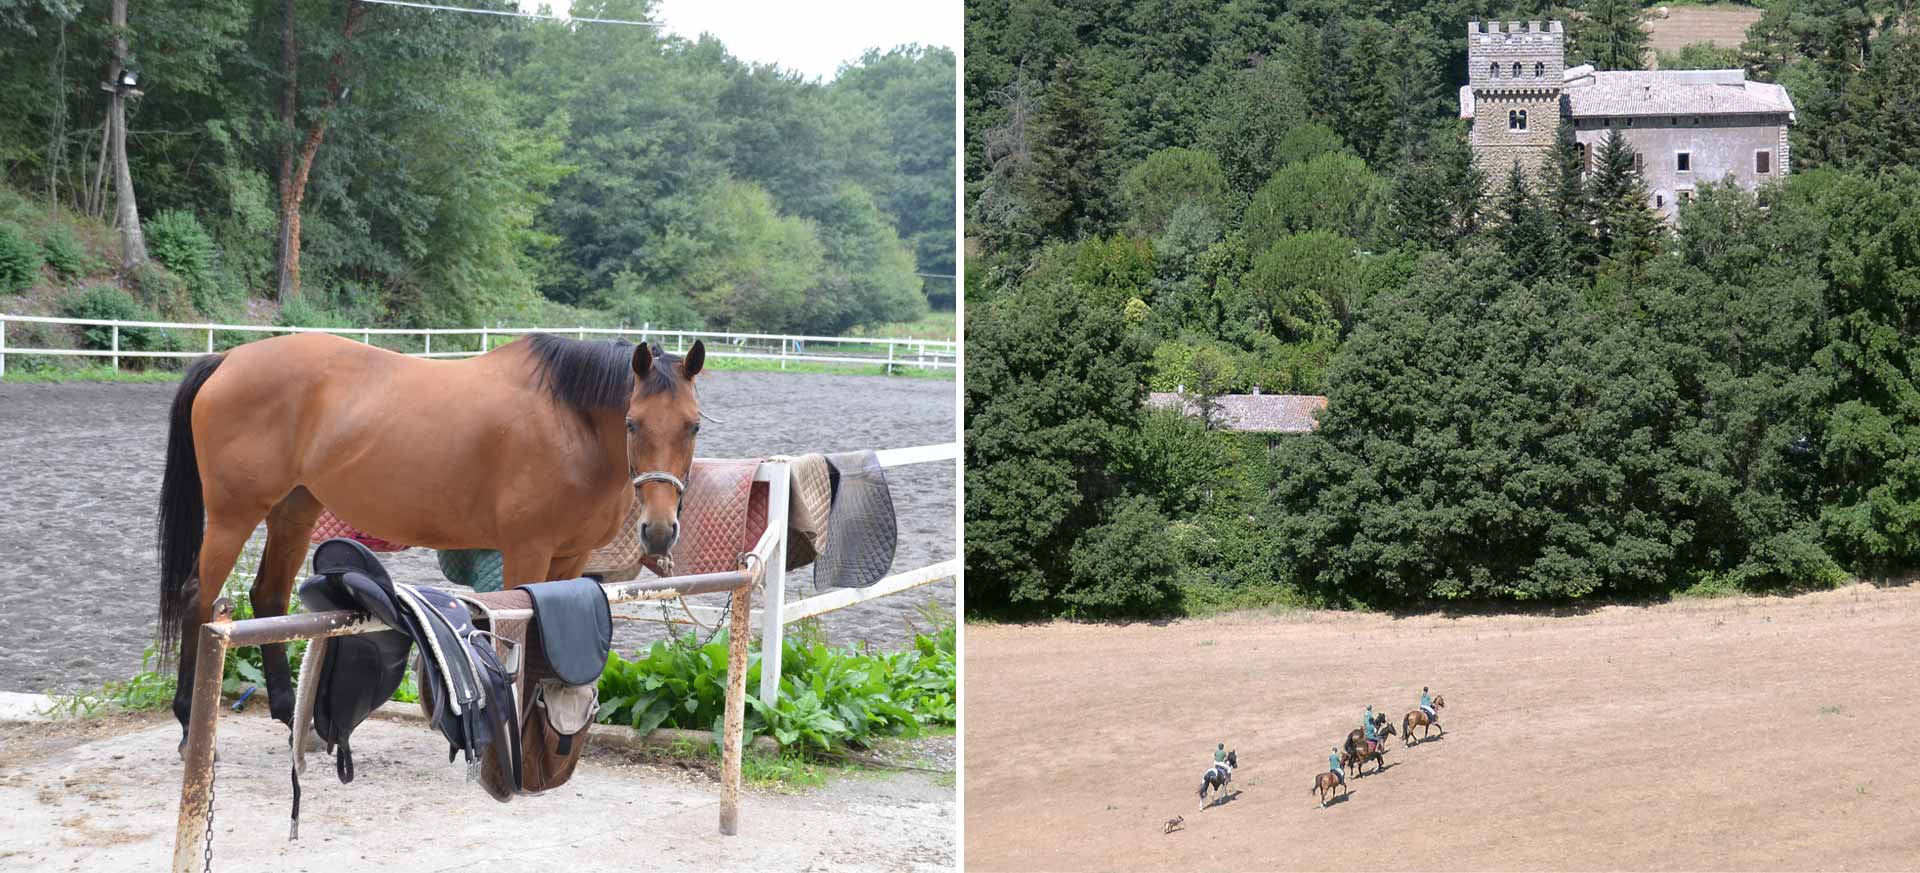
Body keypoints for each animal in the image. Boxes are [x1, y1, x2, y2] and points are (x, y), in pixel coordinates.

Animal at [157, 333, 710, 744]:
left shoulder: (571, 560)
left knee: (268, 597)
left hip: (294, 512)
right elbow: (515, 641)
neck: (570, 422)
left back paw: (292, 716)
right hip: (232, 517)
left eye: (693, 426)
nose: (660, 530)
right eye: (632, 422)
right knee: (198, 600)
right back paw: (186, 721)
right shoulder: (527, 553)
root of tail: (228, 359)